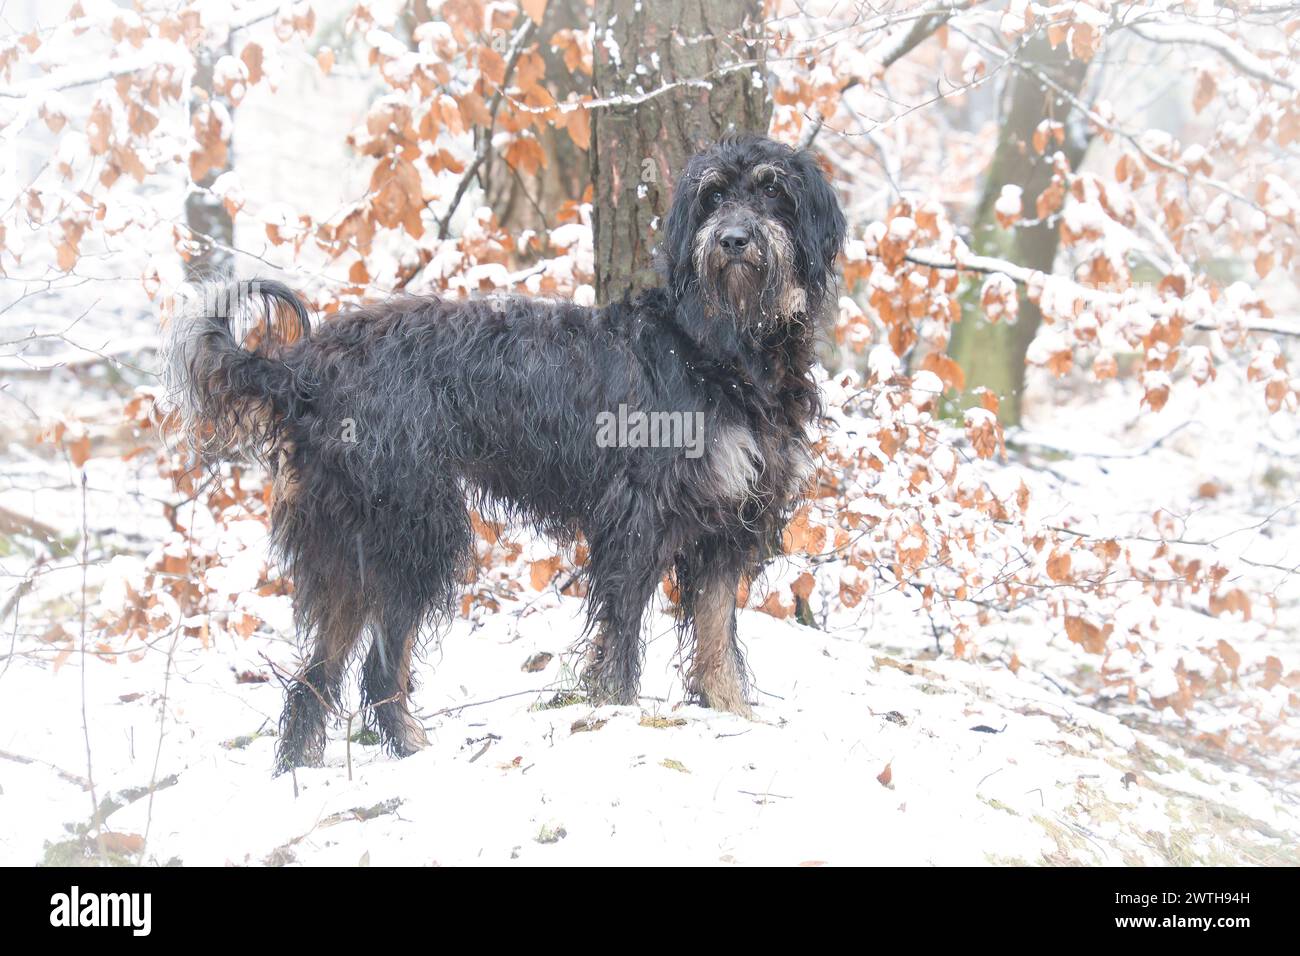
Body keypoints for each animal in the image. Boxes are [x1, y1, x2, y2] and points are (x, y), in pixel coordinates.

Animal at [165, 136, 842, 780]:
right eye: (712, 196)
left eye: (771, 190)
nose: (732, 239)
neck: (718, 347)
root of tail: (303, 368)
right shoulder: (637, 521)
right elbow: (623, 636)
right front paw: (617, 716)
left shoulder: (727, 525)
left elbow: (716, 634)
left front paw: (734, 715)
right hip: (415, 531)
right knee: (377, 672)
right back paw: (414, 754)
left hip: (352, 546)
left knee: (317, 675)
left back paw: (304, 770)